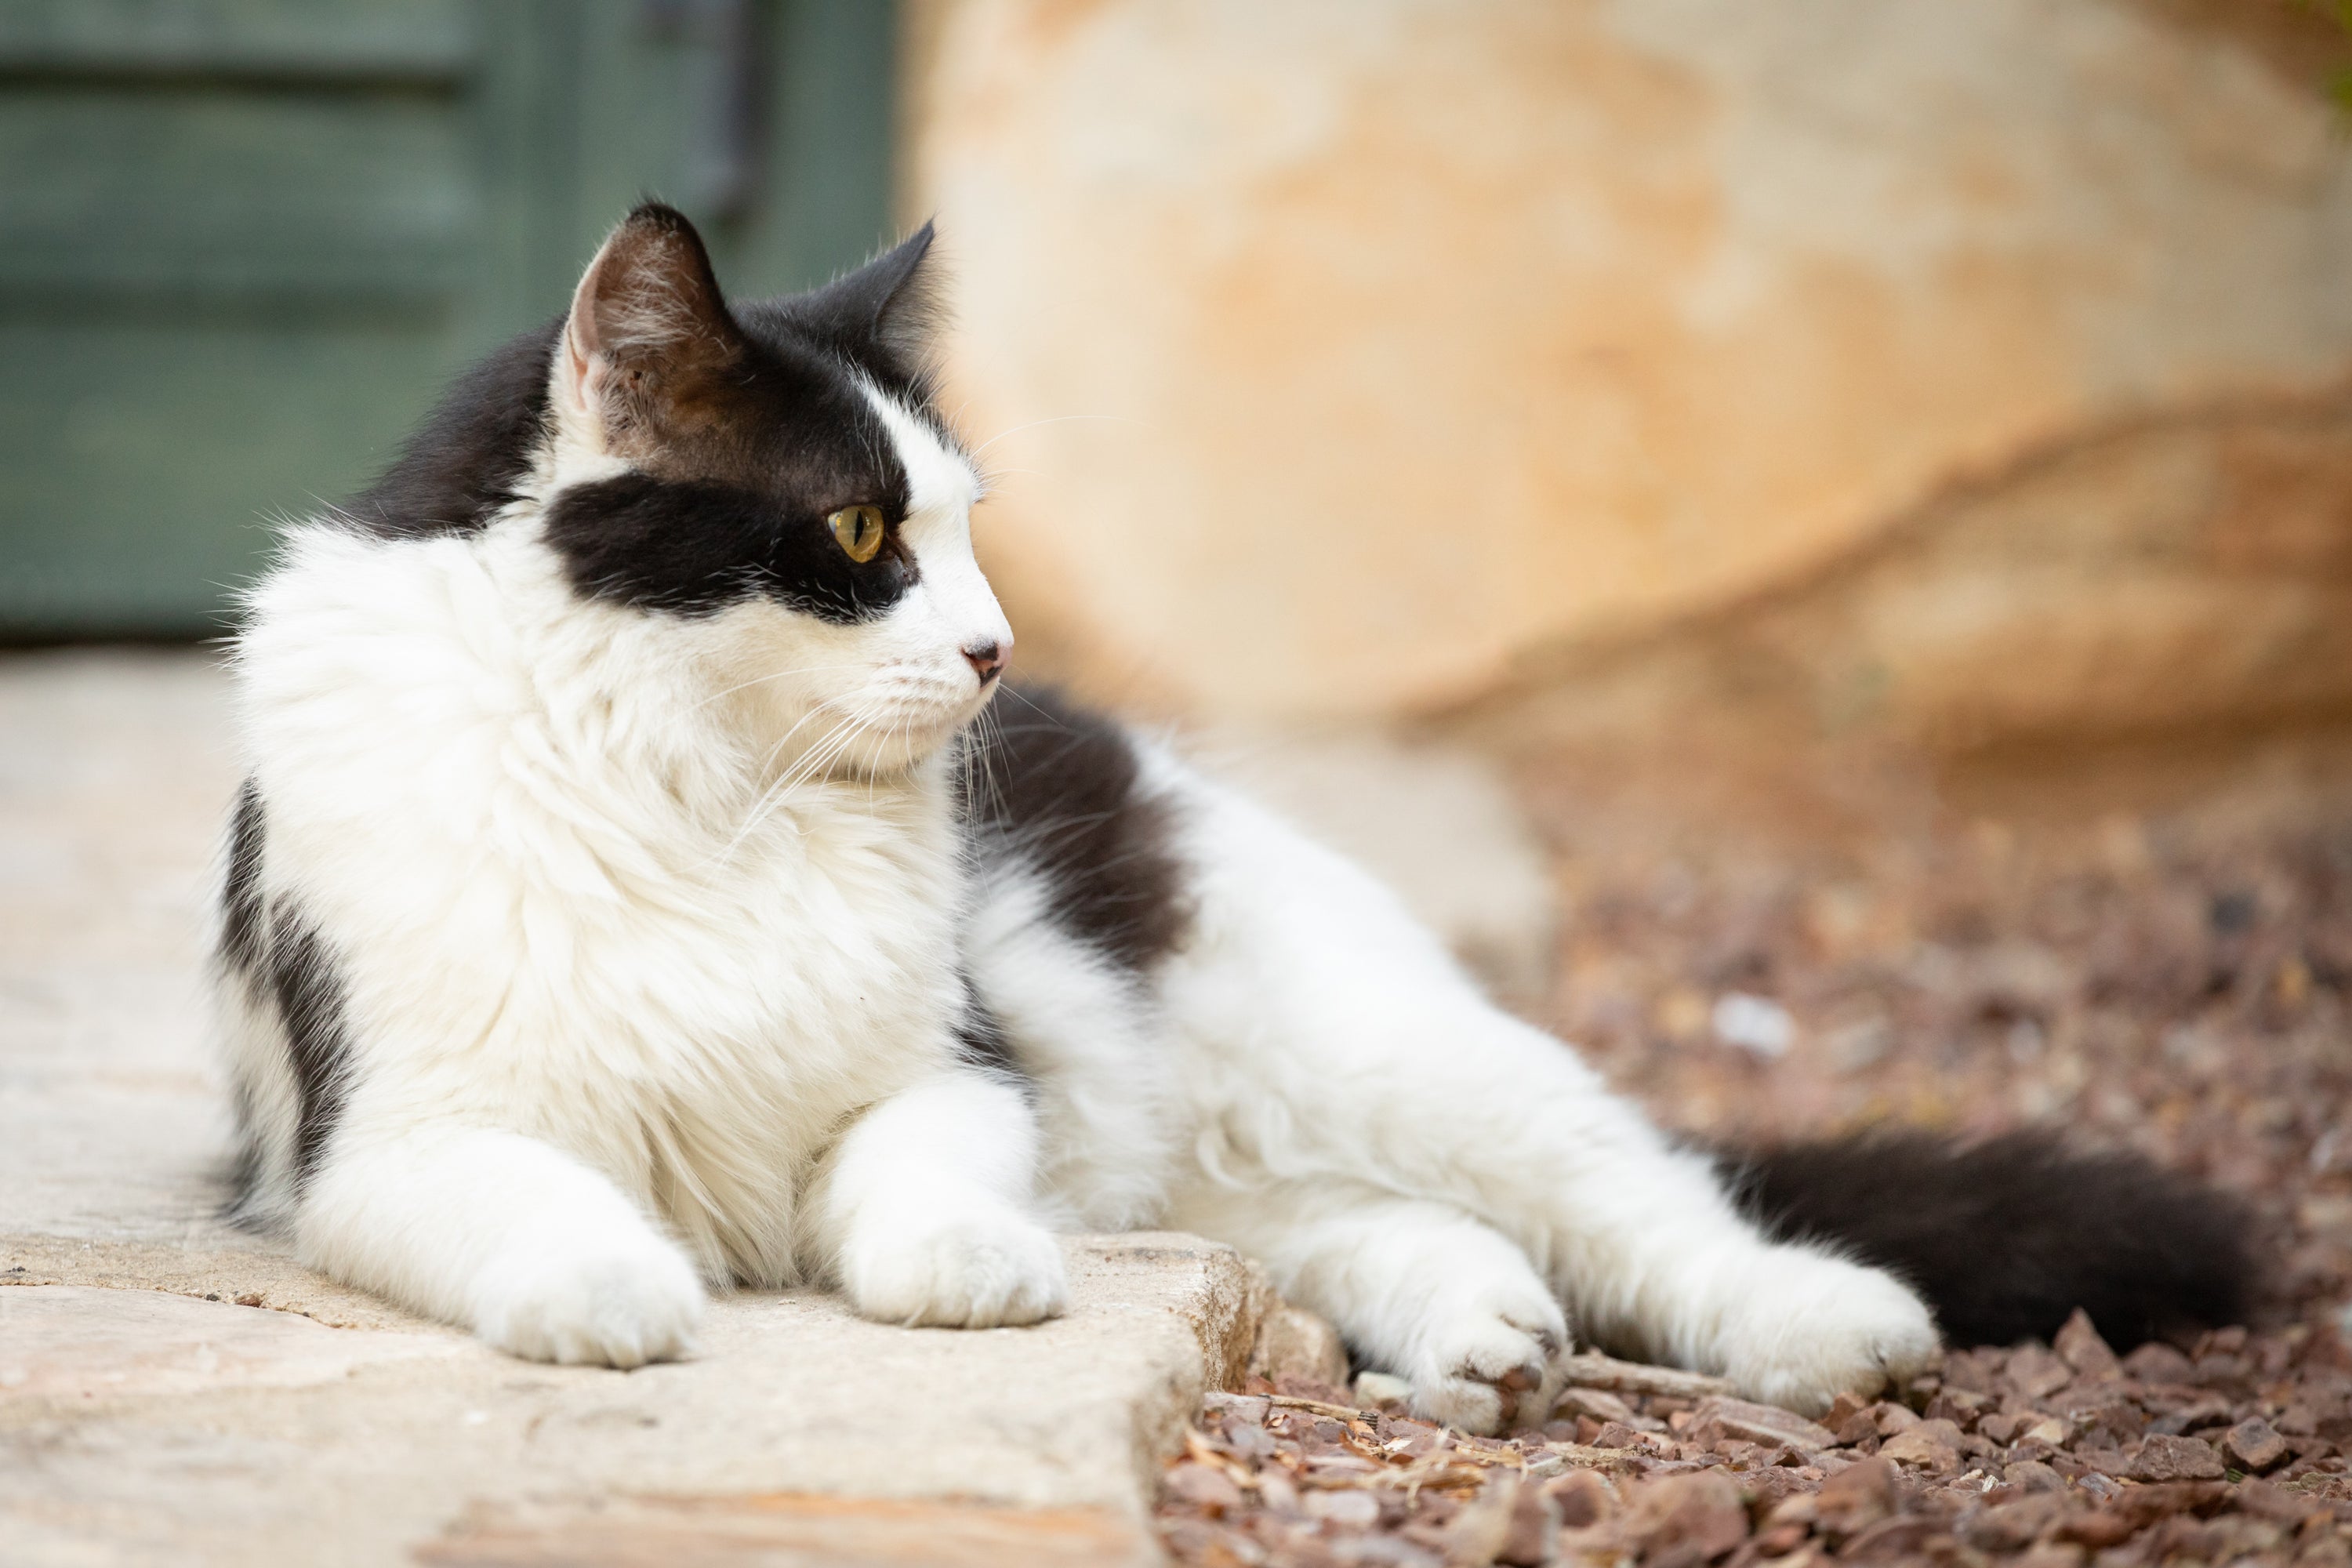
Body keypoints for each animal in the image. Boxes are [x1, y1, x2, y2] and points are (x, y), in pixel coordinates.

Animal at [216, 208, 2239, 1439]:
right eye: (864, 534)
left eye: (964, 529)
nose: (994, 648)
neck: (702, 791)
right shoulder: (385, 1139)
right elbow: (541, 1199)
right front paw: (618, 1286)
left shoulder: (956, 1072)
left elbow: (912, 1178)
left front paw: (963, 1275)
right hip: (1225, 1166)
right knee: (1371, 1228)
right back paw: (1482, 1336)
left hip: (1382, 1050)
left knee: (1658, 1201)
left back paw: (1825, 1322)